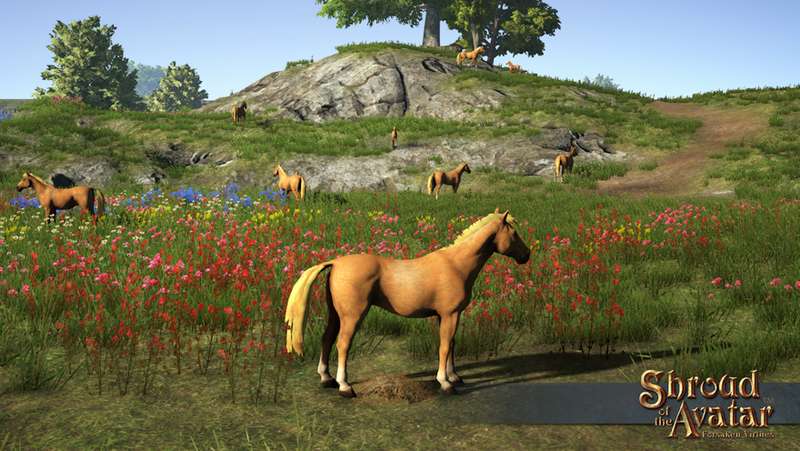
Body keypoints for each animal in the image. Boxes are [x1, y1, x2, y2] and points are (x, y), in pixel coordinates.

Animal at [285, 208, 530, 398]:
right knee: (342, 344)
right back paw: (345, 387)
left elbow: (451, 345)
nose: (527, 254)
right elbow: (444, 347)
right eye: (514, 233)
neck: (456, 265)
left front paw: (454, 377)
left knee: (327, 339)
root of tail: (335, 263)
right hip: (353, 316)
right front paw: (445, 383)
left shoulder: (450, 315)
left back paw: (326, 379)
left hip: (336, 314)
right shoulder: (449, 314)